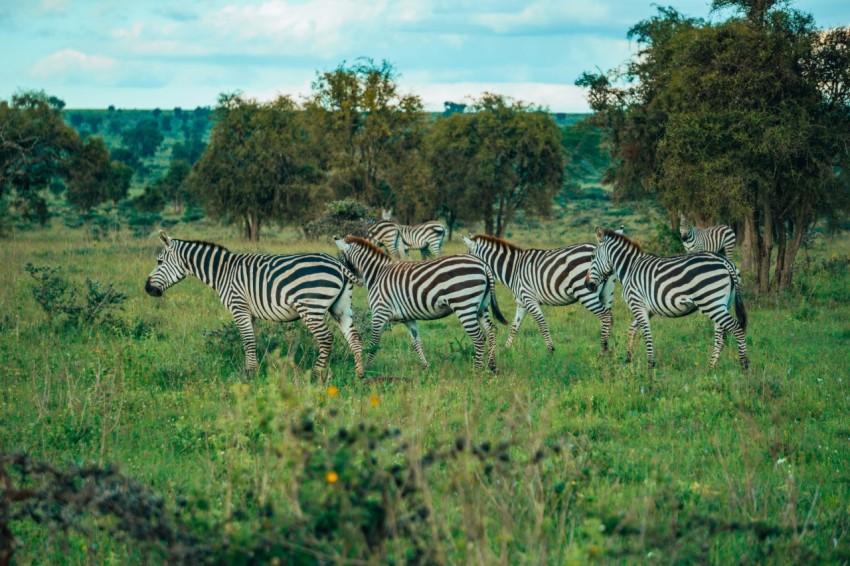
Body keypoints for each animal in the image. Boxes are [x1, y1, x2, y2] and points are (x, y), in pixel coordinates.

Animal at [144, 231, 365, 378]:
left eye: (159, 262)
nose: (147, 289)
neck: (223, 272)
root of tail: (338, 264)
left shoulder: (239, 307)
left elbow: (247, 341)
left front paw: (249, 374)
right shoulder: (250, 313)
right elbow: (253, 341)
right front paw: (256, 370)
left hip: (311, 308)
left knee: (326, 338)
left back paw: (315, 374)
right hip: (341, 307)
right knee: (354, 337)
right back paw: (359, 375)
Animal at [334, 235, 508, 372]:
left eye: (341, 260)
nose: (351, 282)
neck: (377, 274)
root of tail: (483, 264)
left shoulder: (379, 312)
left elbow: (374, 342)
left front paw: (368, 368)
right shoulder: (408, 318)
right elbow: (416, 342)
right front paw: (426, 367)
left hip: (464, 305)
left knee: (479, 338)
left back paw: (476, 371)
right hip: (481, 307)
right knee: (492, 331)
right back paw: (492, 366)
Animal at [462, 234, 615, 354]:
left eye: (469, 255)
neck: (513, 269)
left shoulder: (529, 299)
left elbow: (542, 324)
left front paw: (551, 350)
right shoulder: (522, 303)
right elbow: (514, 327)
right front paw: (506, 349)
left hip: (586, 293)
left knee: (605, 316)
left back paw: (603, 349)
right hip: (606, 293)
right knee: (610, 317)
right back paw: (608, 350)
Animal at [585, 227, 748, 369]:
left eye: (592, 257)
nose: (587, 285)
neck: (630, 268)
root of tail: (724, 261)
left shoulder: (637, 304)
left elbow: (646, 334)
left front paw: (650, 365)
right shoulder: (647, 309)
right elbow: (631, 330)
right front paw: (628, 359)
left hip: (711, 303)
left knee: (736, 328)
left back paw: (744, 366)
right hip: (722, 303)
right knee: (721, 337)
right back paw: (710, 369)